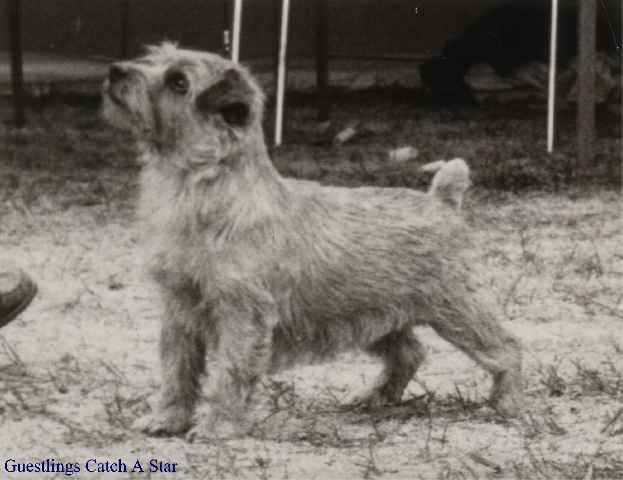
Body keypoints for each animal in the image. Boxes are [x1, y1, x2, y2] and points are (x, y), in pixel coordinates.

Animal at [101, 43, 520, 436]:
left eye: (178, 81)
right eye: (151, 56)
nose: (115, 69)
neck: (197, 192)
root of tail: (440, 201)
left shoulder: (241, 314)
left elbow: (230, 373)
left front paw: (217, 425)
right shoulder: (179, 310)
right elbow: (177, 370)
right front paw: (167, 419)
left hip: (459, 312)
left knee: (506, 349)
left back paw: (507, 403)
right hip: (376, 317)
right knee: (410, 353)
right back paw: (374, 397)